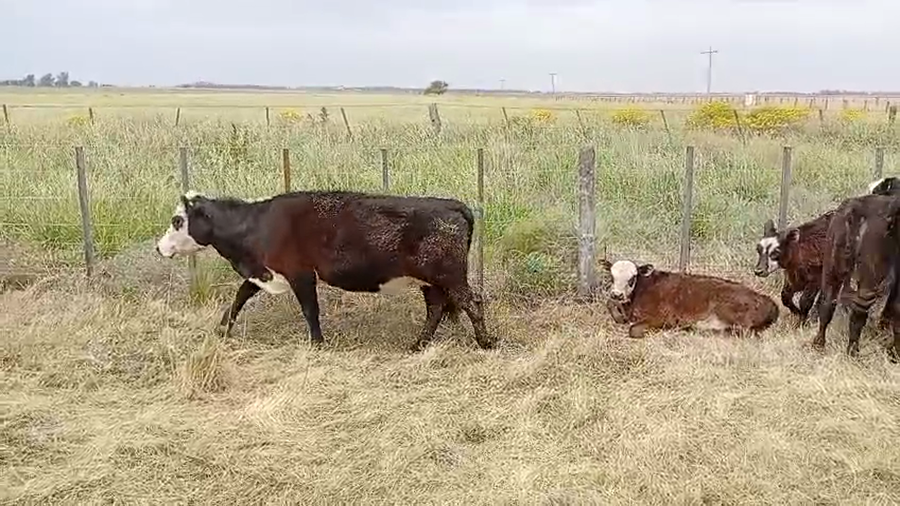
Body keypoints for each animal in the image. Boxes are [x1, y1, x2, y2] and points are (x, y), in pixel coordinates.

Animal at [155, 190, 495, 352]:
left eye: (177, 220)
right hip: (430, 280)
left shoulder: (301, 273)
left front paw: (317, 343)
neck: (257, 224)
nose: (159, 247)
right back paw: (418, 345)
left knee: (472, 302)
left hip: (450, 276)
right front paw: (222, 329)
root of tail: (453, 205)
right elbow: (239, 297)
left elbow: (310, 309)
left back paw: (486, 342)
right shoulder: (264, 272)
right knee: (435, 309)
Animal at [599, 258, 779, 339]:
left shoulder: (663, 317)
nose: (617, 294)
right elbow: (609, 304)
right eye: (612, 276)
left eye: (632, 278)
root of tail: (767, 300)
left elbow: (633, 330)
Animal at [814, 193, 900, 360]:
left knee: (828, 300)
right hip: (871, 271)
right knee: (860, 309)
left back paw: (818, 344)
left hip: (832, 260)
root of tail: (856, 209)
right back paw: (853, 352)